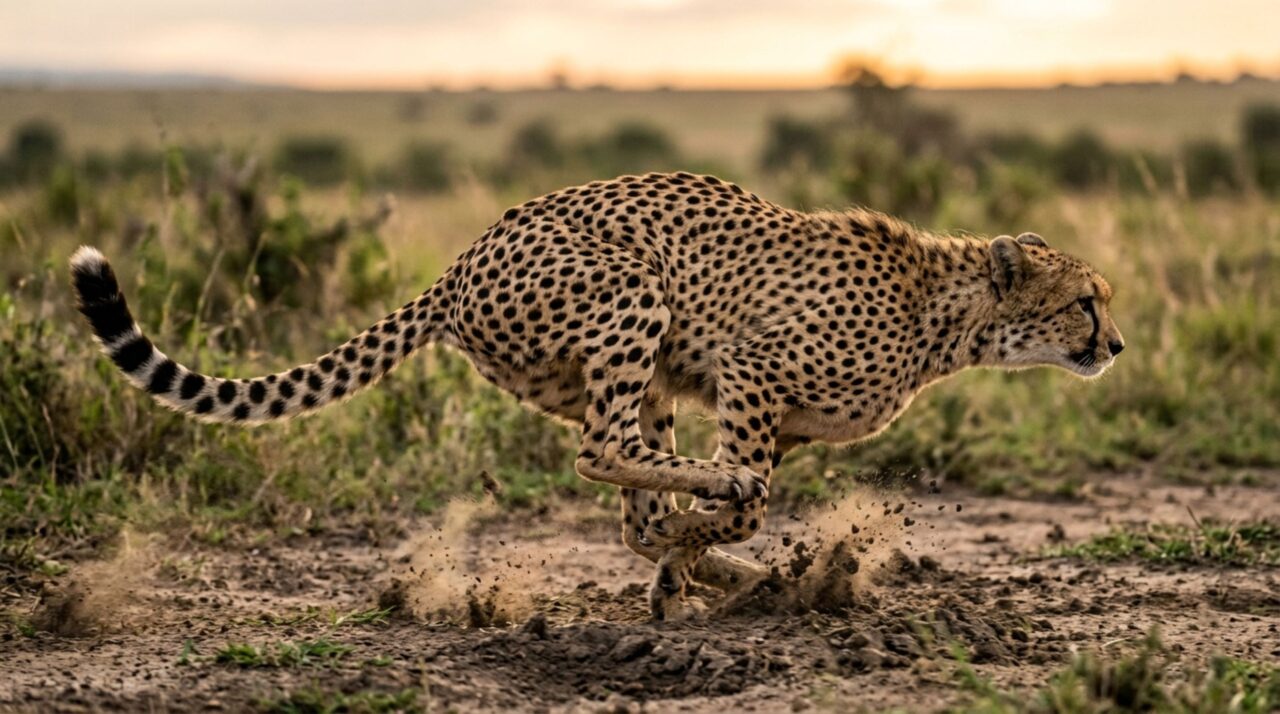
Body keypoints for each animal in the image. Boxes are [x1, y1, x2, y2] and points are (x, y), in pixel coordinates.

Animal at [70, 171, 1125, 620]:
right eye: (1085, 301)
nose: (1114, 345)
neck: (948, 316)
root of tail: (462, 259)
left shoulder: (765, 410)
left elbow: (680, 523)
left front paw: (695, 571)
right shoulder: (752, 374)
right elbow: (746, 498)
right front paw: (715, 551)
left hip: (643, 370)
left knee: (627, 485)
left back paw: (699, 559)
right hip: (634, 295)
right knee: (603, 451)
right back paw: (710, 533)